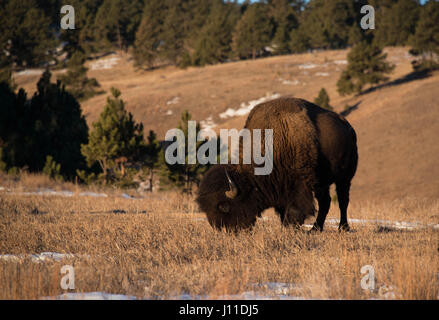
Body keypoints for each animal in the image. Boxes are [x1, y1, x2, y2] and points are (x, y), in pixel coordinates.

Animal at [198, 97, 360, 232]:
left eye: (224, 206)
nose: (224, 230)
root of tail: (348, 127)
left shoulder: (299, 185)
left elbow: (295, 210)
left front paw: (291, 228)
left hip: (344, 178)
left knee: (342, 200)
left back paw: (343, 228)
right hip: (322, 182)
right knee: (325, 202)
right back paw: (315, 229)